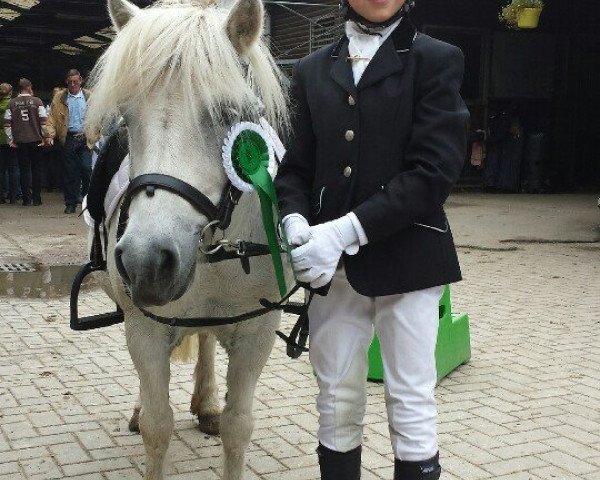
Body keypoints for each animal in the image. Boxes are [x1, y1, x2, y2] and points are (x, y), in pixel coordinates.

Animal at [85, 1, 290, 478]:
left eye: (227, 114)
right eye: (127, 119)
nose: (146, 262)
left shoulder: (258, 332)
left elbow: (238, 427)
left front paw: (220, 414)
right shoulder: (144, 328)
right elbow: (157, 426)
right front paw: (147, 415)